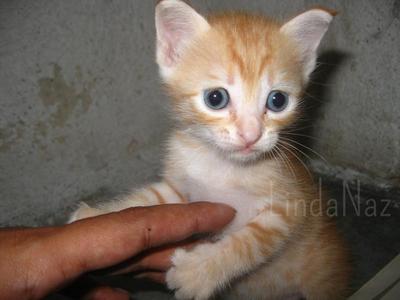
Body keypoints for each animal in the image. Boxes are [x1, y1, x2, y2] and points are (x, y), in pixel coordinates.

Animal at [70, 1, 348, 298]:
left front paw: (198, 272)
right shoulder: (182, 186)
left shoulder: (290, 205)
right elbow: (149, 197)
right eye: (216, 98)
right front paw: (99, 217)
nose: (251, 135)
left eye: (278, 100)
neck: (222, 165)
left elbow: (249, 242)